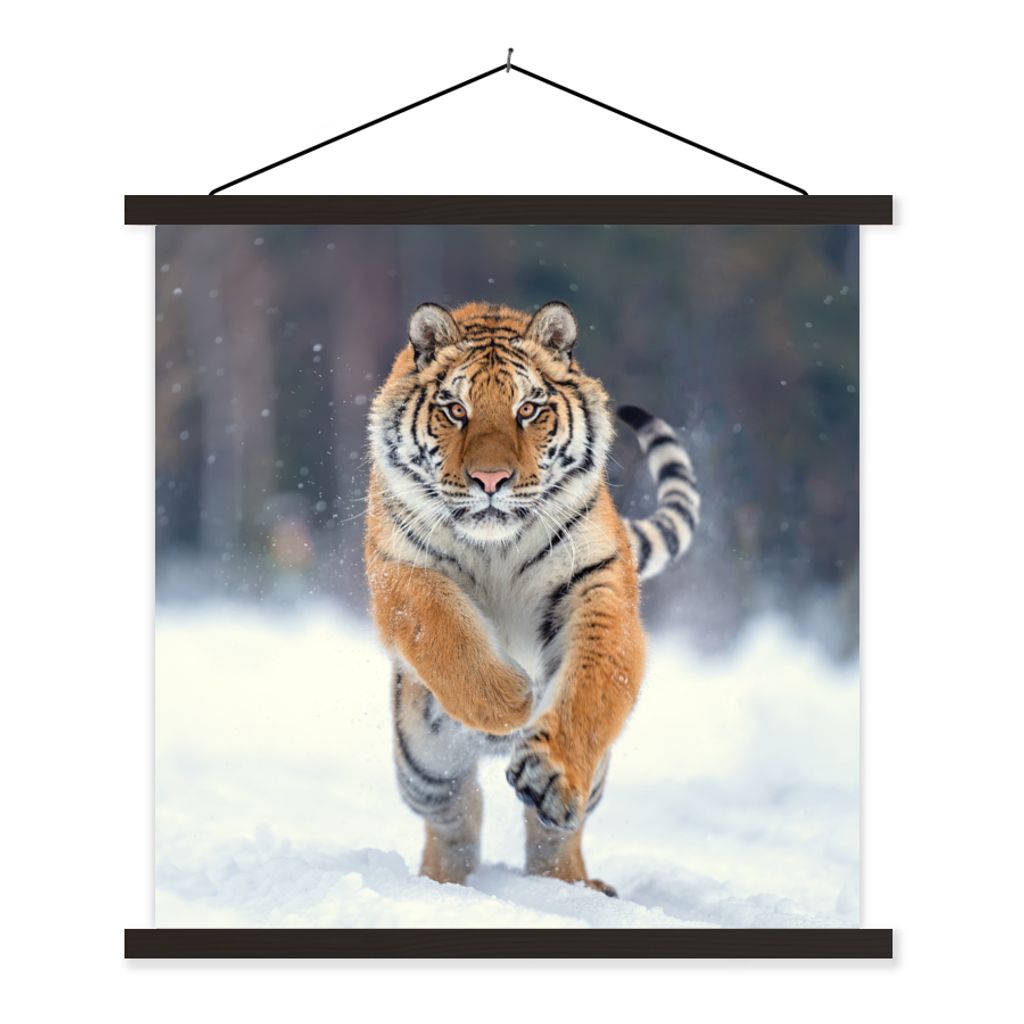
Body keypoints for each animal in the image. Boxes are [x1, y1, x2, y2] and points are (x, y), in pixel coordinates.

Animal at [364, 300, 699, 896]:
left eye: (528, 409)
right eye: (455, 409)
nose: (490, 479)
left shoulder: (597, 582)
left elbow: (594, 683)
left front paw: (550, 771)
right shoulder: (401, 570)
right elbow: (443, 632)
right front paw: (511, 699)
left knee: (553, 834)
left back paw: (572, 886)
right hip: (423, 764)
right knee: (456, 815)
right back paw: (442, 884)